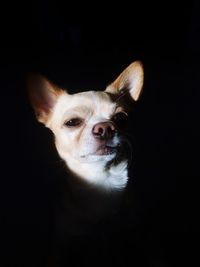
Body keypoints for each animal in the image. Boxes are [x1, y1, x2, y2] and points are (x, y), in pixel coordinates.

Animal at [27, 60, 144, 264]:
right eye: (72, 122)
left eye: (121, 119)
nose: (105, 128)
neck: (100, 180)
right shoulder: (64, 245)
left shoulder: (128, 236)